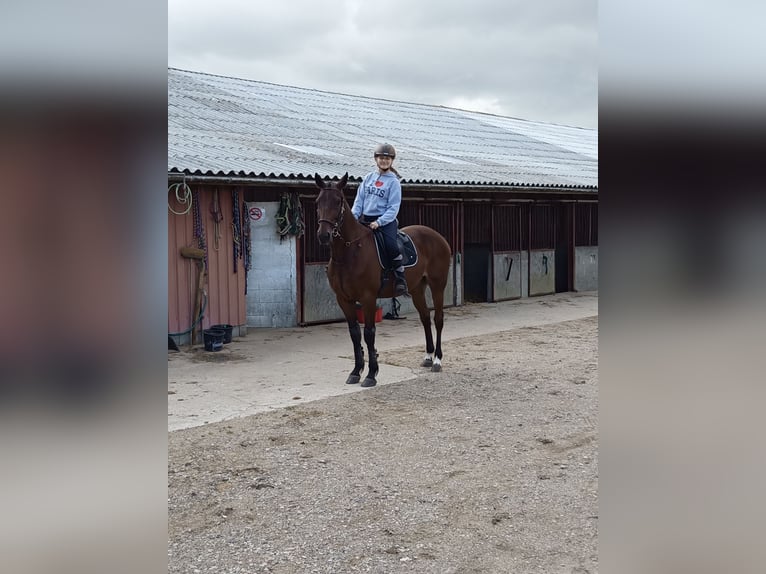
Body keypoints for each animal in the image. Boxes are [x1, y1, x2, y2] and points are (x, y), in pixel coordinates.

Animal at [316, 173, 452, 390]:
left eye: (338, 201)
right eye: (318, 202)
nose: (323, 235)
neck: (349, 252)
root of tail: (437, 236)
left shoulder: (368, 298)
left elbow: (369, 333)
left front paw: (371, 374)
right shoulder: (343, 300)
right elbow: (355, 334)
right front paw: (356, 372)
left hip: (438, 285)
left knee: (438, 319)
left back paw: (437, 360)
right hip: (417, 289)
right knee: (424, 318)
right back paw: (428, 357)